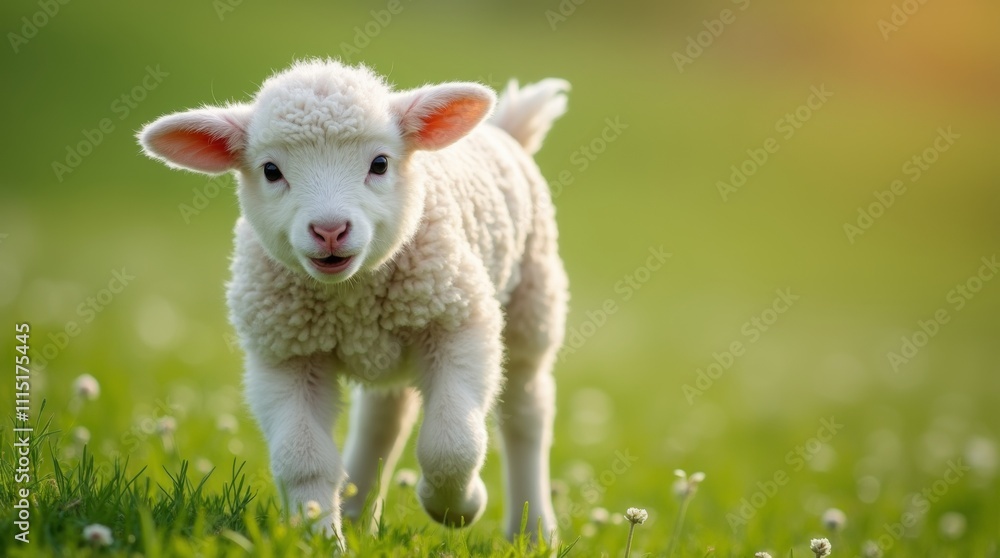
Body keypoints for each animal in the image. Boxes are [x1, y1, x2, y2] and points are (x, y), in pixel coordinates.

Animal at [137, 59, 570, 545]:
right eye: (271, 170)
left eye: (379, 163)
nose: (329, 230)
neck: (350, 297)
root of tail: (505, 129)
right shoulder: (282, 355)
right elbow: (303, 459)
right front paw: (320, 538)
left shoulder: (461, 322)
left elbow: (452, 443)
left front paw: (459, 507)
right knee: (384, 418)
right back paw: (359, 513)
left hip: (533, 302)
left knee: (526, 414)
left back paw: (533, 532)